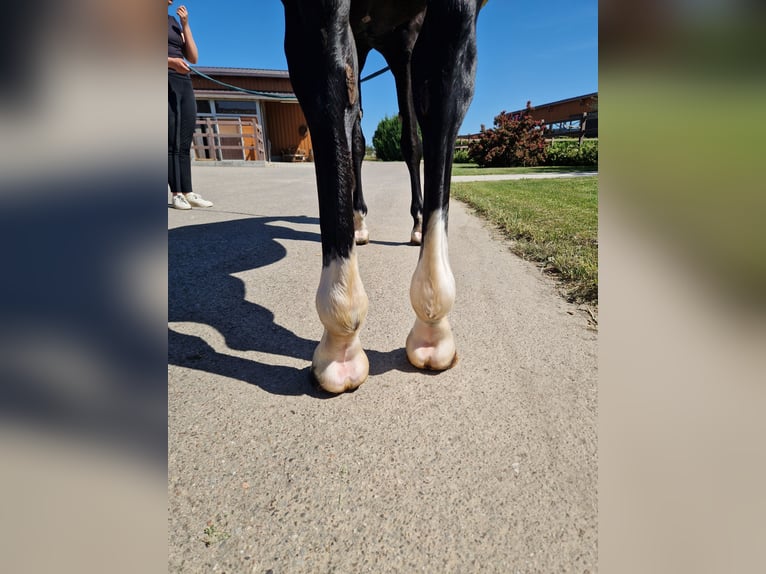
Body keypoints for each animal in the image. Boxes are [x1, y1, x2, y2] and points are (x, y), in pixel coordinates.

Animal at [281, 0, 482, 393]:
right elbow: (331, 92)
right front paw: (341, 344)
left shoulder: (414, 36)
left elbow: (440, 98)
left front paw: (432, 330)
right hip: (367, 40)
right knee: (355, 132)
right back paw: (358, 223)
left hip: (398, 48)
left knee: (408, 135)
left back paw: (416, 224)